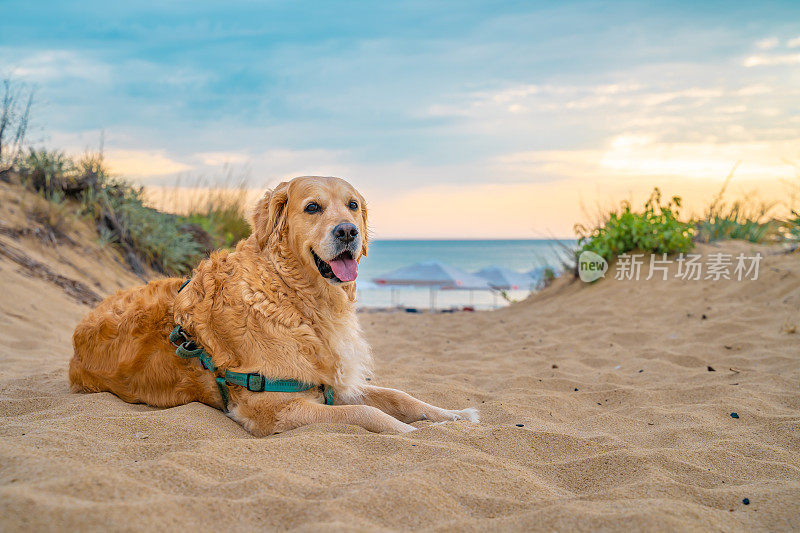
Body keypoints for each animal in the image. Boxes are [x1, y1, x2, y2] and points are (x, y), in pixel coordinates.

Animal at [69, 177, 478, 434]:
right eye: (312, 207)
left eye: (352, 205)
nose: (348, 231)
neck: (295, 298)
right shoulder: (274, 407)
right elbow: (370, 413)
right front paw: (422, 433)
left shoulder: (332, 382)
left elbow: (399, 396)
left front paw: (453, 416)